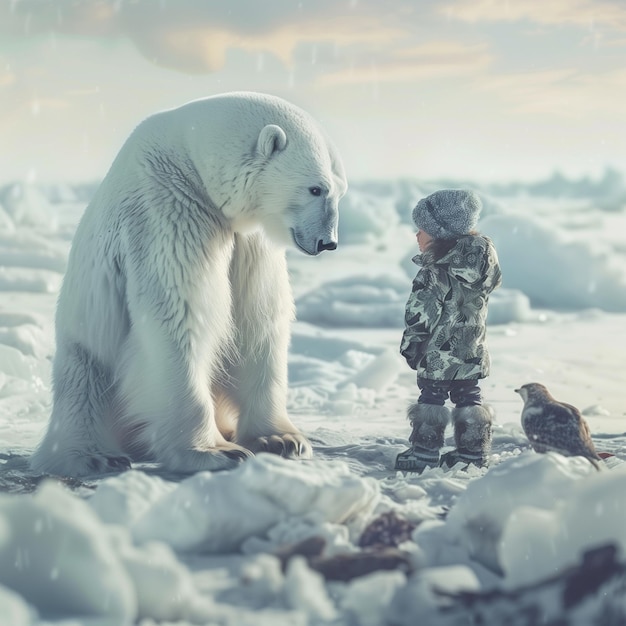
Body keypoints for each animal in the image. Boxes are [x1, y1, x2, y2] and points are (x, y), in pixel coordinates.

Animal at [30, 90, 346, 476]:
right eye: (315, 189)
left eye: (340, 191)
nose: (328, 242)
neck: (190, 161)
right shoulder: (168, 211)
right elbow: (181, 316)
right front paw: (216, 451)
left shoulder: (249, 241)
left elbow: (259, 319)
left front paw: (282, 439)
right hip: (86, 346)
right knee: (83, 390)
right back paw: (94, 455)